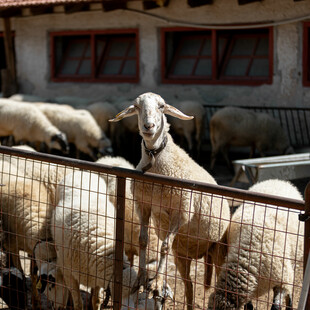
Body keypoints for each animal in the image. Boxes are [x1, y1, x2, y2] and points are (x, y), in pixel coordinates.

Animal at [109, 92, 230, 310]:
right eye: (137, 107)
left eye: (161, 106)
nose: (148, 126)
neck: (156, 161)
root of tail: (200, 254)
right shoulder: (144, 206)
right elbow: (143, 241)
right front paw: (142, 279)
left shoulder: (181, 212)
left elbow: (163, 246)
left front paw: (156, 282)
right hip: (182, 253)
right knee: (189, 285)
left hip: (218, 250)